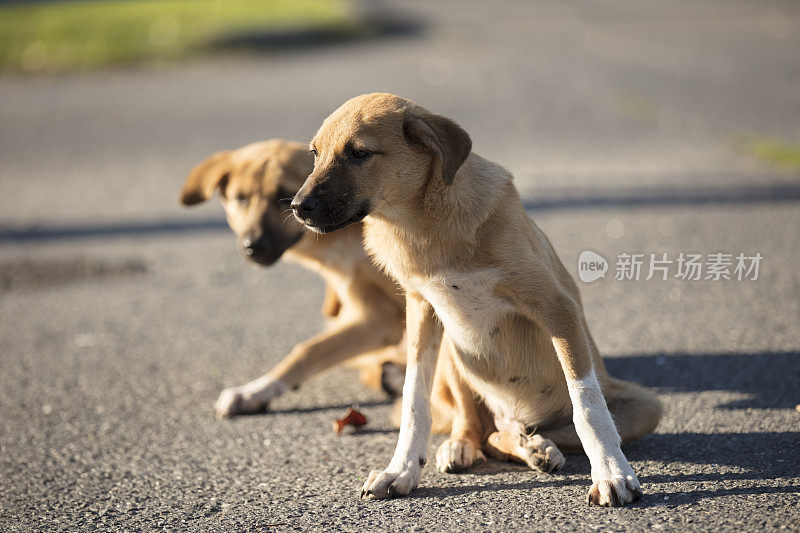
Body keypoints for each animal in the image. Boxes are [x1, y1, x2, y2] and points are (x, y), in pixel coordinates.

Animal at [179, 139, 410, 418]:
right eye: (241, 198)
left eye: (284, 197)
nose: (253, 246)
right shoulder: (378, 318)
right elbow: (308, 351)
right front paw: (254, 392)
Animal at [292, 93, 664, 504]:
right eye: (315, 154)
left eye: (359, 153)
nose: (296, 206)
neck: (422, 224)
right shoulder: (421, 312)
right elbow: (414, 401)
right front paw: (401, 469)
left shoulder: (557, 307)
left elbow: (588, 406)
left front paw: (611, 473)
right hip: (454, 353)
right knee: (479, 429)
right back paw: (472, 446)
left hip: (647, 406)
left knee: (528, 429)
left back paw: (537, 446)